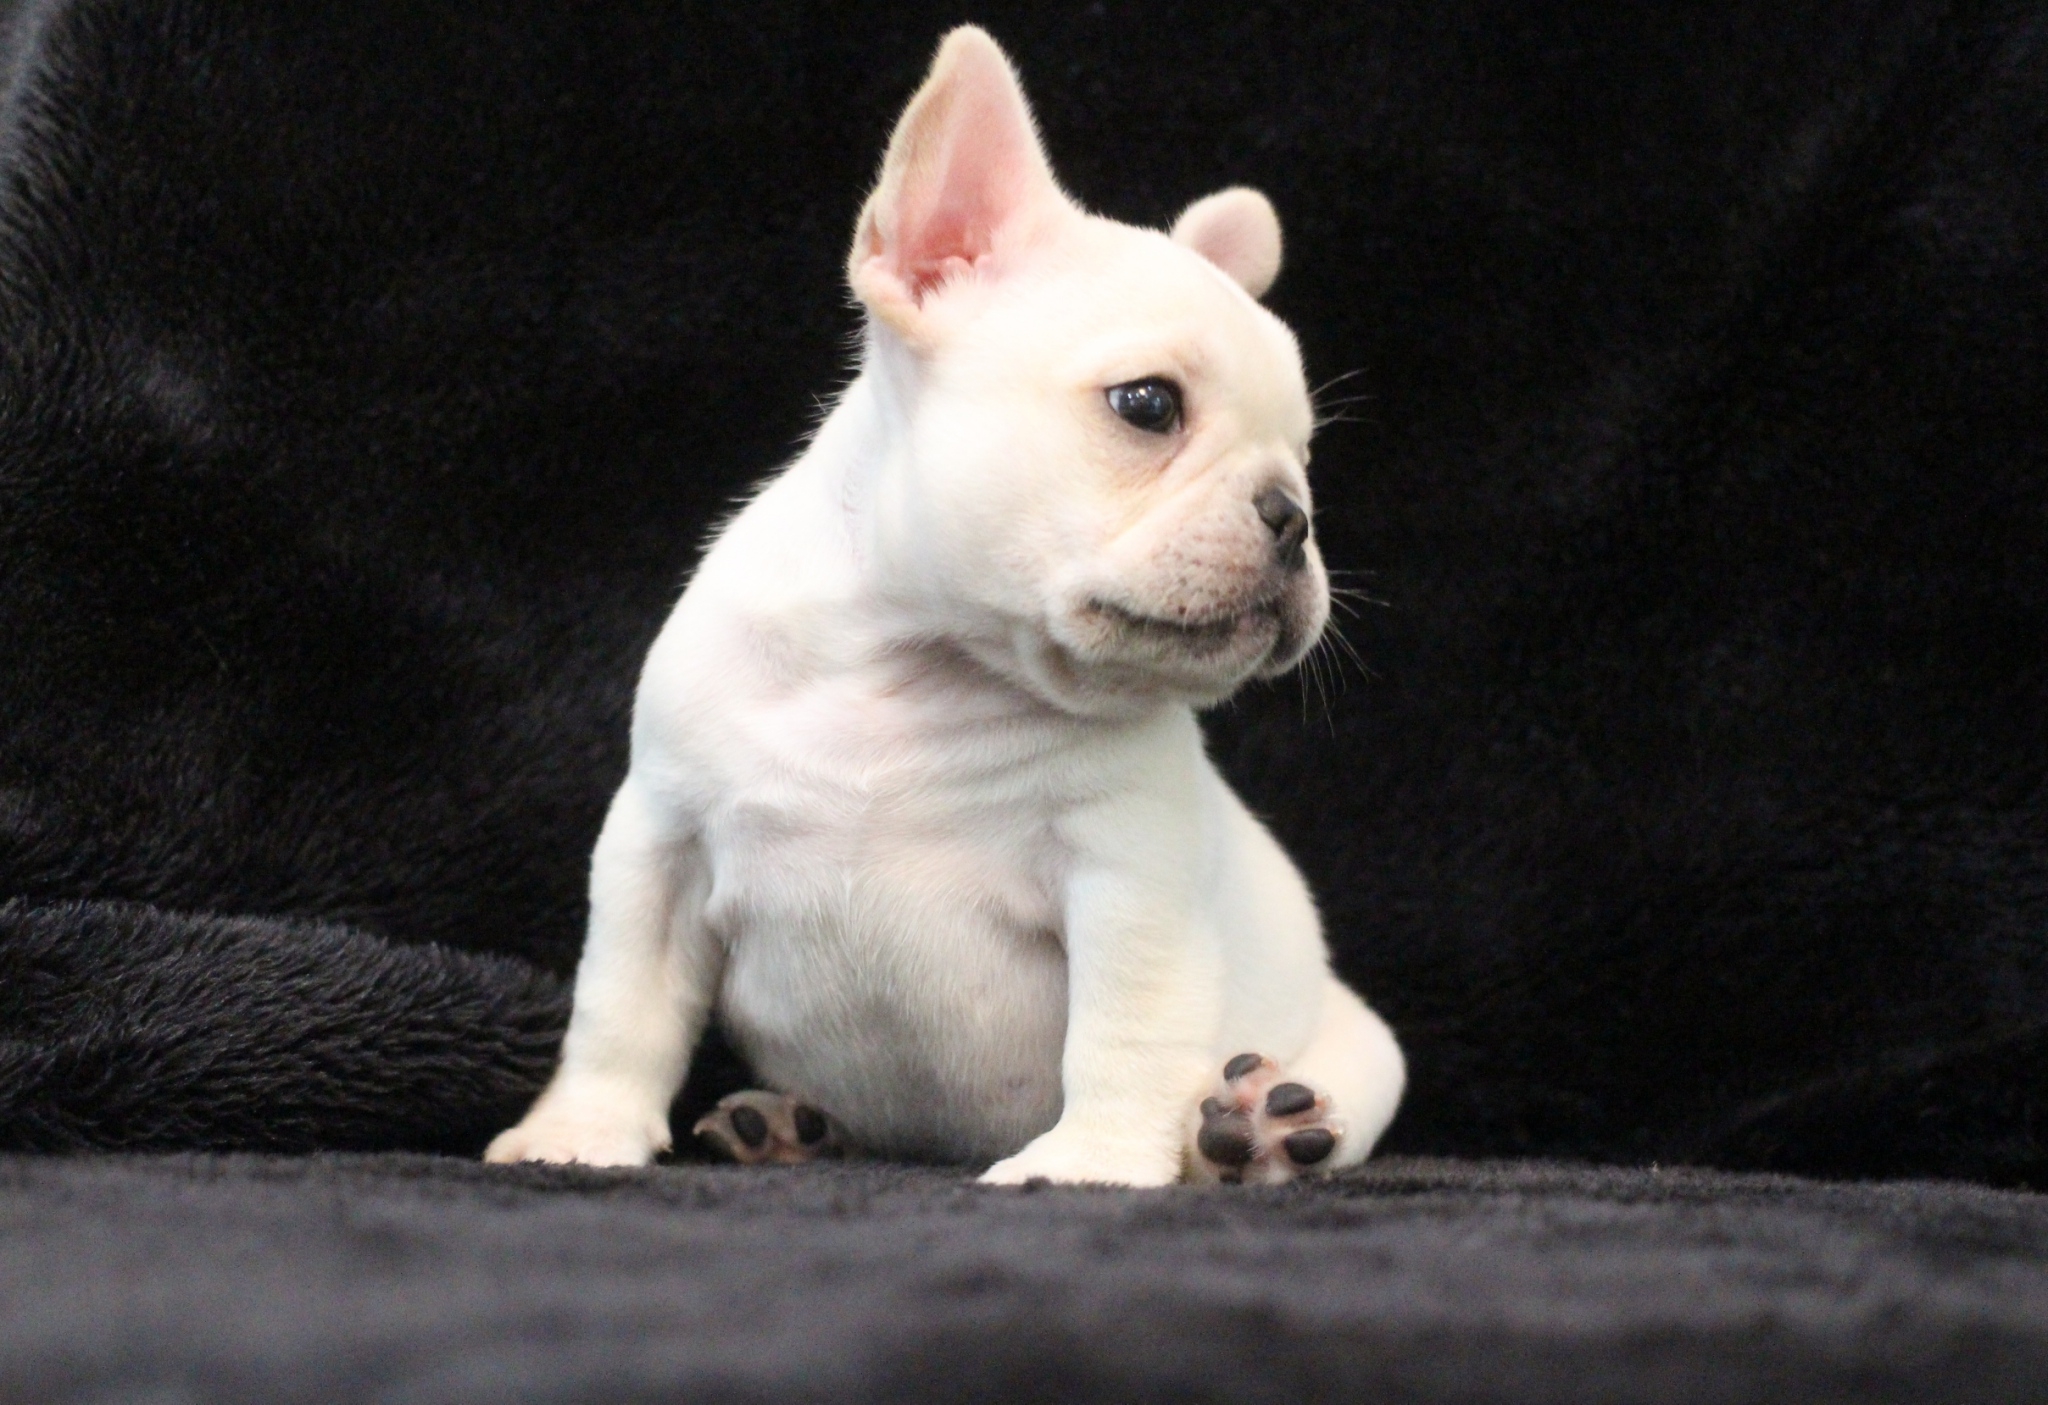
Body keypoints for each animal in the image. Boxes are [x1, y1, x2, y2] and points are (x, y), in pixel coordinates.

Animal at [485, 26, 1405, 1186]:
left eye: (1305, 460)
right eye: (1148, 405)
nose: (1292, 516)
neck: (919, 663)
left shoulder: (1128, 879)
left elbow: (1125, 1028)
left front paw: (1093, 1159)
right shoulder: (658, 836)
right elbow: (621, 1003)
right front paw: (581, 1130)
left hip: (1360, 1046)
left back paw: (1258, 1126)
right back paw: (783, 1130)